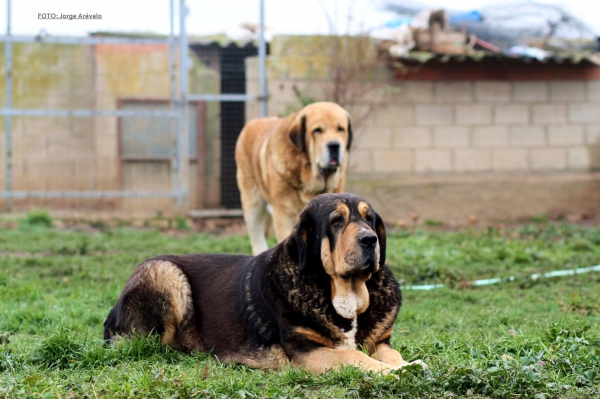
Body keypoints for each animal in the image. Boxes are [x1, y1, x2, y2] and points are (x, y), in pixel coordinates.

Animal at [103, 194, 424, 376]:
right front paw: (393, 372)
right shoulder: (308, 351)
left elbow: (390, 355)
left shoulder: (380, 342)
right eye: (336, 221)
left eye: (370, 219)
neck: (344, 294)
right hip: (165, 271)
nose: (370, 239)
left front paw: (406, 366)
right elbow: (353, 356)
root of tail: (111, 314)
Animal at [234, 101, 352, 255]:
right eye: (317, 130)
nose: (334, 146)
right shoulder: (284, 216)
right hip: (253, 204)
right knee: (257, 238)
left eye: (340, 129)